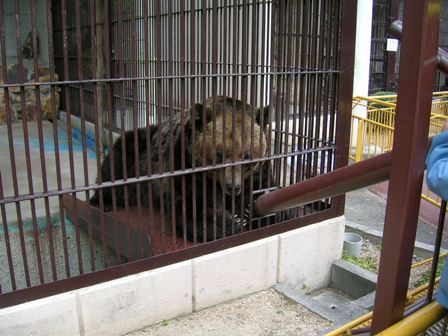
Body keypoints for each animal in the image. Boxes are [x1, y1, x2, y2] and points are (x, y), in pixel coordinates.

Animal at [90, 96, 270, 242]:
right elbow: (189, 207)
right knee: (116, 161)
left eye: (247, 155)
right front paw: (232, 221)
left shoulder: (256, 175)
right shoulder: (186, 167)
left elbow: (262, 194)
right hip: (139, 149)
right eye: (220, 153)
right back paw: (104, 201)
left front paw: (249, 210)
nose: (233, 187)